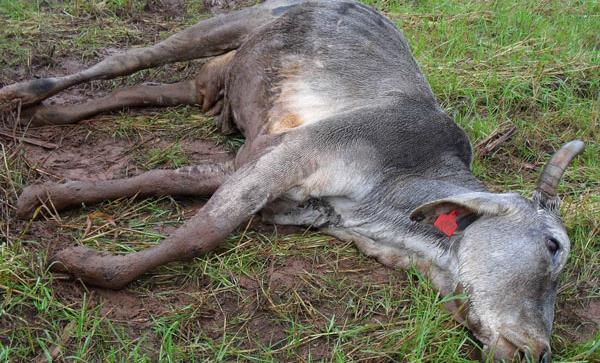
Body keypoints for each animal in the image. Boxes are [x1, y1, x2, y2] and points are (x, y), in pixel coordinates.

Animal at [0, 1, 580, 362]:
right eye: (553, 245)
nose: (536, 350)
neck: (384, 198)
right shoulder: (297, 153)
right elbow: (201, 233)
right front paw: (85, 263)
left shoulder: (269, 172)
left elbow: (166, 178)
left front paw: (43, 197)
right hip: (234, 22)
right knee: (125, 60)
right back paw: (22, 94)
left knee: (155, 89)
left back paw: (52, 115)